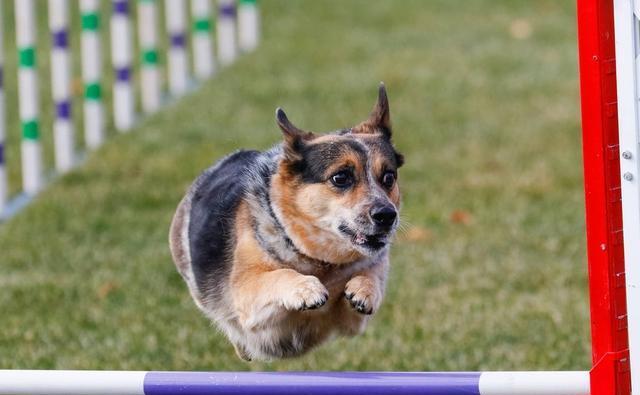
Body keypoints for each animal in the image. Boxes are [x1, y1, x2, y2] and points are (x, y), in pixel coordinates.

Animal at [168, 84, 402, 362]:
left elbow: (370, 276)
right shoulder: (246, 297)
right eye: (341, 177)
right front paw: (306, 288)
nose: (387, 215)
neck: (320, 262)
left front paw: (362, 289)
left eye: (388, 177)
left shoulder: (352, 322)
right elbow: (279, 275)